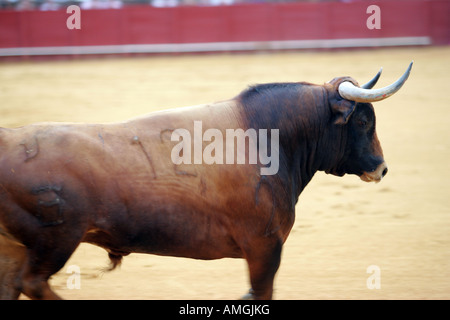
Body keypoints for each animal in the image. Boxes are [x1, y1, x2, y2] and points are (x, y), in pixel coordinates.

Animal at [0, 63, 414, 300]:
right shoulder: (265, 247)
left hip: (17, 247)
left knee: (13, 285)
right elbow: (260, 293)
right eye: (363, 121)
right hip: (56, 241)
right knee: (33, 283)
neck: (270, 137)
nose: (381, 168)